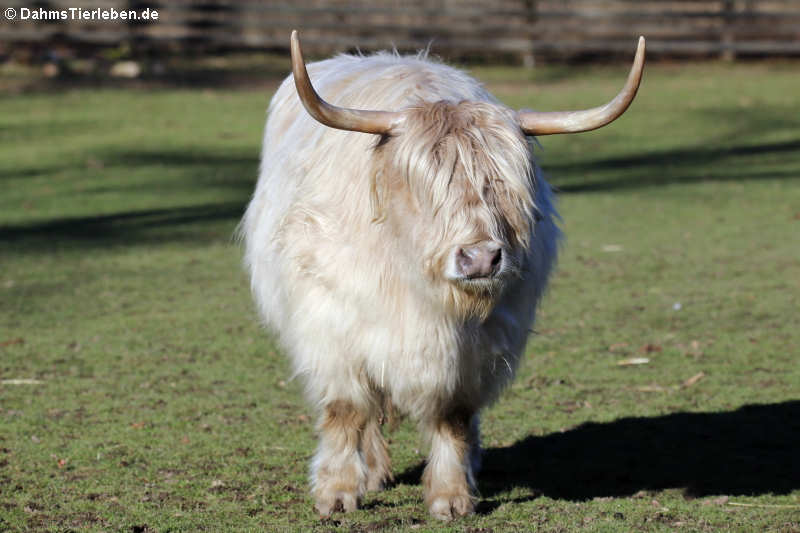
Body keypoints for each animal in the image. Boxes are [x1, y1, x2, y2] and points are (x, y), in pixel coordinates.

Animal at [242, 31, 644, 516]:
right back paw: (371, 472)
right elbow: (347, 409)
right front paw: (336, 492)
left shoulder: (478, 351)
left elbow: (453, 417)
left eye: (507, 185)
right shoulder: (334, 331)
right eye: (424, 185)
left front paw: (452, 496)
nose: (481, 259)